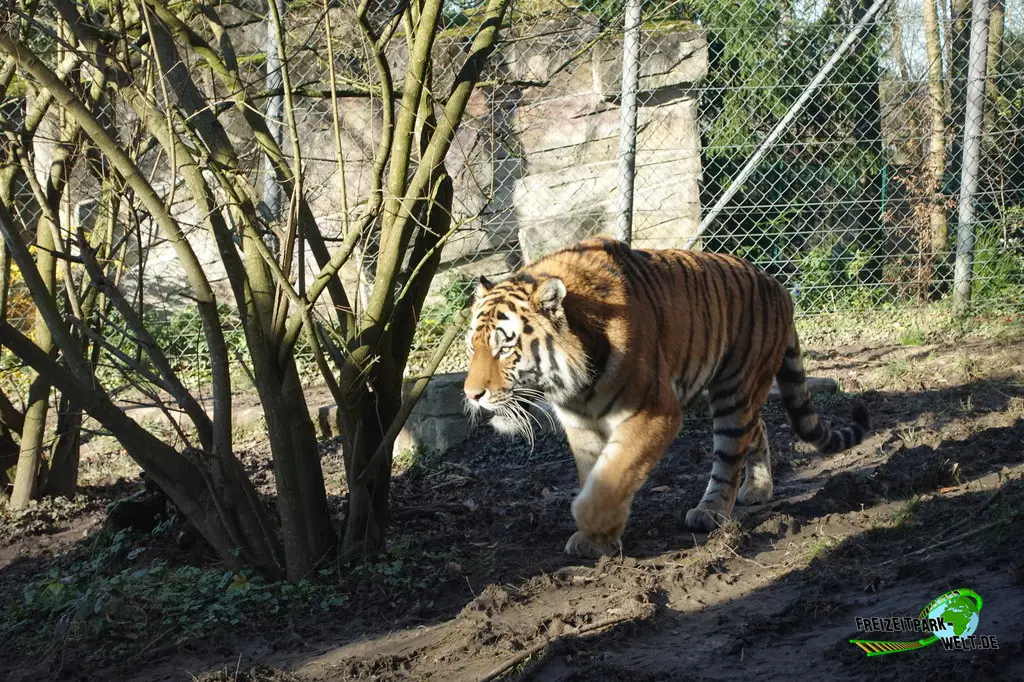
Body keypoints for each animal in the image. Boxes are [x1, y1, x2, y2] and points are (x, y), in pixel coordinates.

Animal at [463, 235, 870, 558]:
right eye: (472, 347)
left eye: (504, 348)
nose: (472, 394)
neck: (574, 386)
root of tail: (779, 284)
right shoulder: (581, 426)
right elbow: (595, 474)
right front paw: (599, 540)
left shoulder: (654, 413)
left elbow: (614, 474)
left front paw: (591, 524)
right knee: (759, 428)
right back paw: (758, 489)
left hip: (736, 388)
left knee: (730, 453)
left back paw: (711, 512)